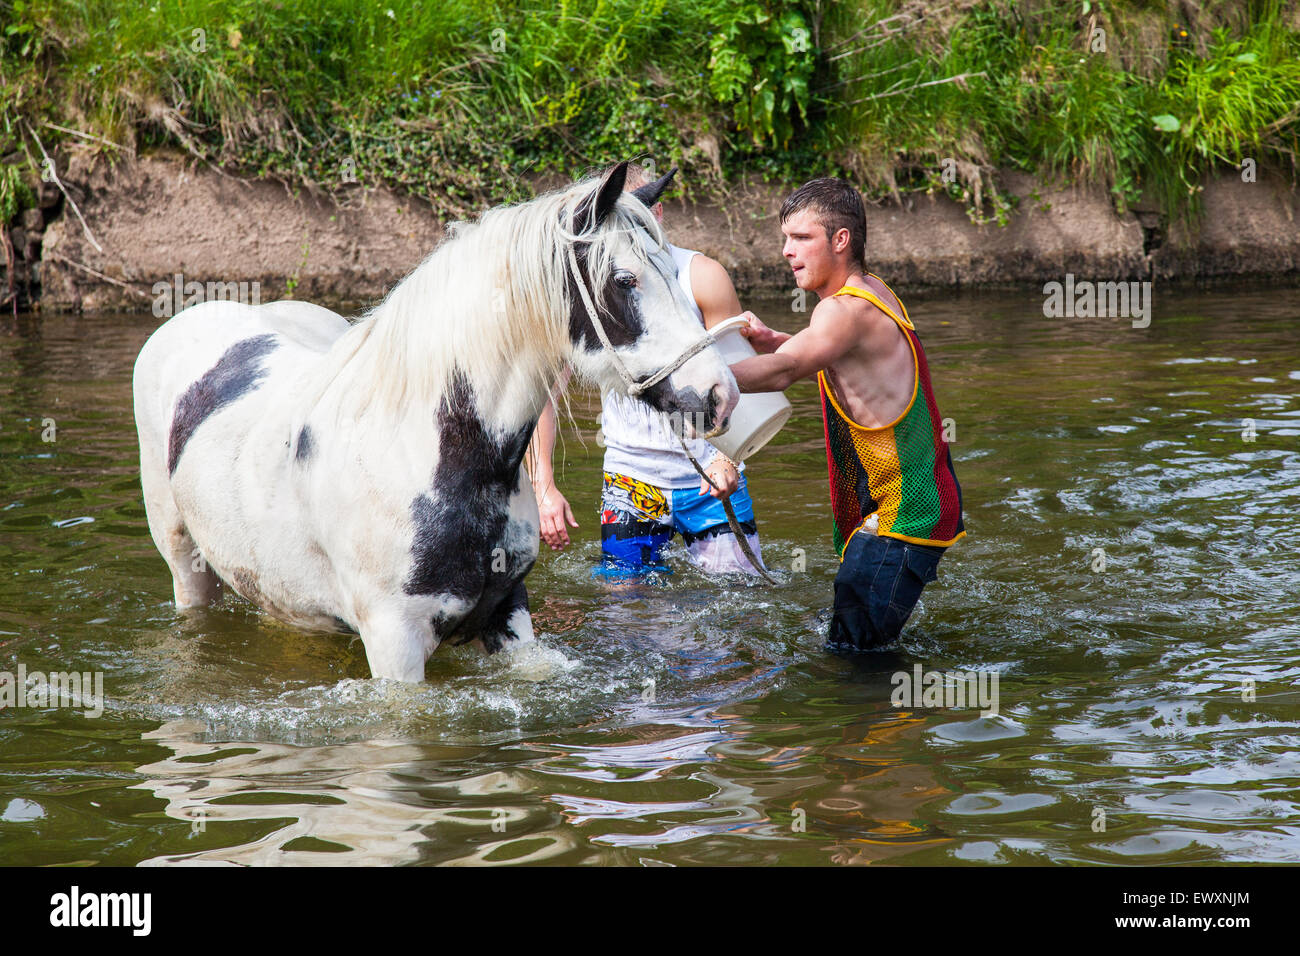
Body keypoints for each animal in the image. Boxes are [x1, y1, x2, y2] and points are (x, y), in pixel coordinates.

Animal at [132, 162, 739, 681]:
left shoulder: (508, 611)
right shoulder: (393, 642)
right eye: (625, 280)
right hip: (185, 561)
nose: (720, 394)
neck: (427, 451)